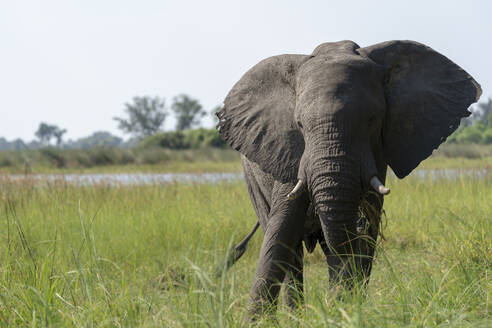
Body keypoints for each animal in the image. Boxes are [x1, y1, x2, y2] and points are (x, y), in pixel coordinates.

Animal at [215, 39, 480, 320]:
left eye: (373, 120)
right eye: (299, 124)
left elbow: (364, 236)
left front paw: (344, 309)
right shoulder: (290, 153)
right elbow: (280, 234)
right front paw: (256, 321)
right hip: (252, 182)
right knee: (292, 253)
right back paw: (299, 314)